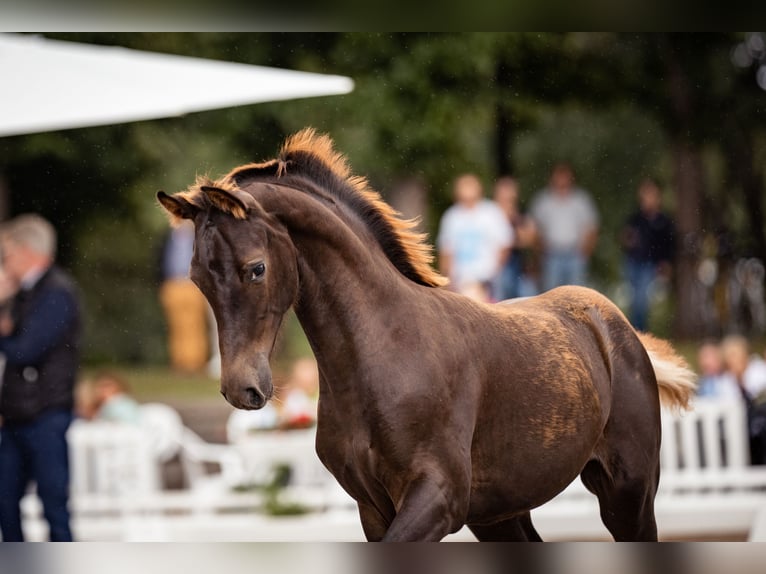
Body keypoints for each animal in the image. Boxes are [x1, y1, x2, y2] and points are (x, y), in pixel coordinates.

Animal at [159, 128, 700, 544]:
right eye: (196, 278)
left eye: (256, 268)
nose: (241, 389)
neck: (382, 352)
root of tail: (614, 324)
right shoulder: (373, 509)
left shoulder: (439, 497)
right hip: (499, 514)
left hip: (628, 491)